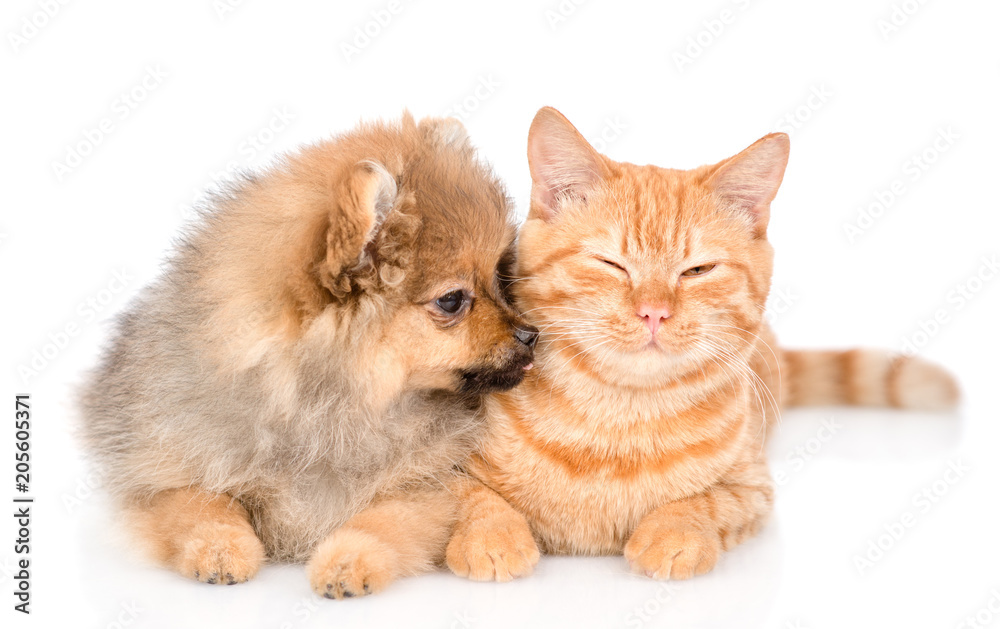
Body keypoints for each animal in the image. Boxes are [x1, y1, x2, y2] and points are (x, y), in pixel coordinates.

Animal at [81, 114, 536, 600]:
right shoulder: (159, 473)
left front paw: (345, 562)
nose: (532, 335)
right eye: (452, 301)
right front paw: (220, 550)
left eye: (500, 277)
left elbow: (381, 521)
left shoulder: (421, 485)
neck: (322, 405)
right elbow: (200, 504)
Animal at [448, 106, 960, 580]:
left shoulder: (754, 489)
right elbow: (467, 494)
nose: (654, 312)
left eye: (698, 270)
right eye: (611, 264)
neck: (617, 423)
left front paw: (674, 533)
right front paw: (490, 535)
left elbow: (706, 501)